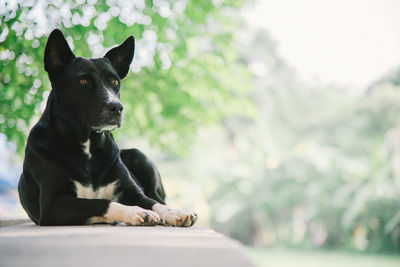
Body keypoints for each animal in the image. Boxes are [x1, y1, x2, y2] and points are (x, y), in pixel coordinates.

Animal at [18, 28, 198, 227]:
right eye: (83, 82)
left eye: (115, 82)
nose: (117, 107)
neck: (89, 144)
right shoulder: (53, 204)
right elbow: (103, 202)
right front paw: (136, 212)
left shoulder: (133, 192)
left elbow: (154, 204)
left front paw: (174, 213)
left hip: (139, 155)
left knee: (159, 198)